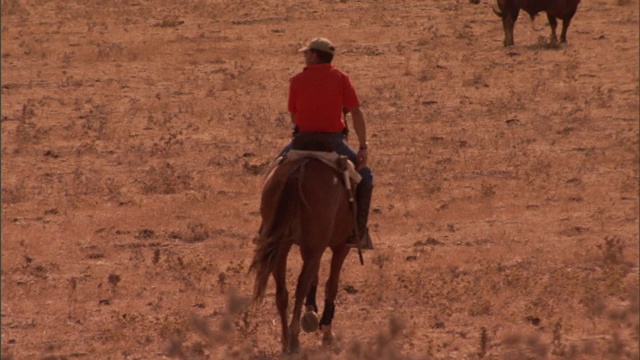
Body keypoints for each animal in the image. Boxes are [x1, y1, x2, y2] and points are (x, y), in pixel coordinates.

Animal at [250, 150, 358, 354]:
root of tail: (298, 171)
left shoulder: (308, 247)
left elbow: (313, 278)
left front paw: (311, 312)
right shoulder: (340, 247)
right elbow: (331, 285)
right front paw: (326, 332)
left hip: (282, 246)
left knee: (282, 292)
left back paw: (286, 339)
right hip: (313, 247)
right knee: (300, 287)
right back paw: (294, 337)